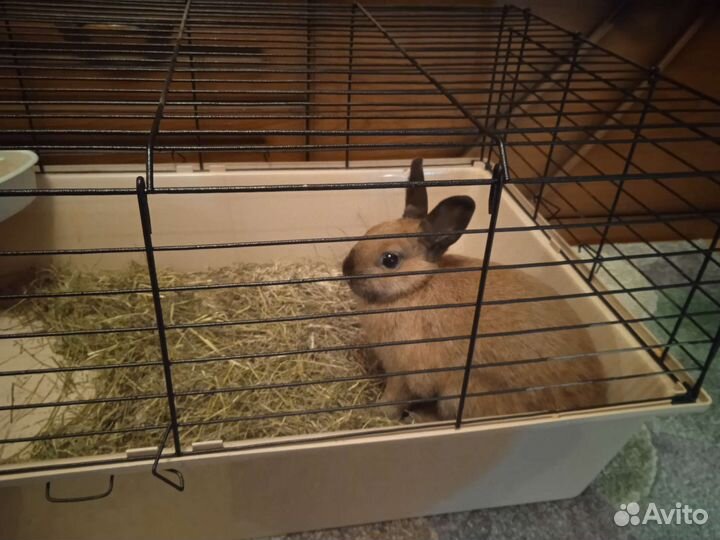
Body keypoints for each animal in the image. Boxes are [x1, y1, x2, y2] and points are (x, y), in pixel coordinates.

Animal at [342, 158, 608, 422]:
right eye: (369, 232)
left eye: (390, 259)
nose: (346, 269)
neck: (417, 287)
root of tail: (596, 397)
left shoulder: (405, 373)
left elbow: (395, 398)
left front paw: (376, 412)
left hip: (460, 395)